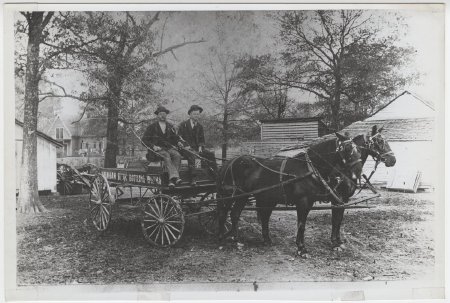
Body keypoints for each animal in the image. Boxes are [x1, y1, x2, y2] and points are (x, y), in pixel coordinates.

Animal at [216, 134, 364, 258]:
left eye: (359, 149)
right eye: (347, 149)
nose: (356, 175)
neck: (309, 169)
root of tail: (229, 162)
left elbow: (335, 220)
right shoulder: (304, 202)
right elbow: (302, 224)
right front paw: (301, 249)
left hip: (252, 197)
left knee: (238, 214)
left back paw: (240, 240)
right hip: (234, 195)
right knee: (226, 213)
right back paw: (226, 239)